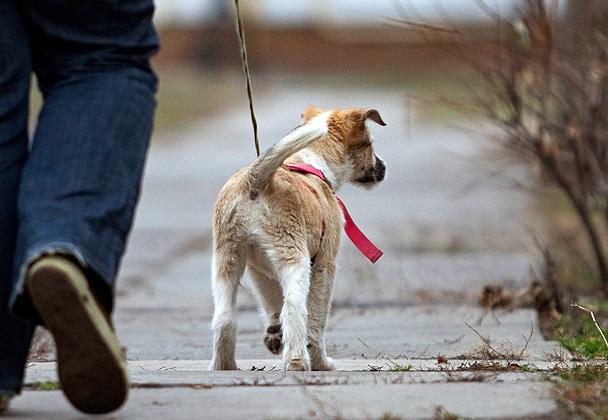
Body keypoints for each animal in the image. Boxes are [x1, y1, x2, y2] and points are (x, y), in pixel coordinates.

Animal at [209, 106, 386, 371]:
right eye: (369, 143)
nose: (384, 167)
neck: (310, 163)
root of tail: (255, 180)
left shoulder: (259, 271)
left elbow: (272, 302)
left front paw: (274, 335)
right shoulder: (325, 265)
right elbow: (316, 320)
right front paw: (322, 363)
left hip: (226, 260)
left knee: (225, 317)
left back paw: (224, 365)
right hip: (294, 256)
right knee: (292, 307)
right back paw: (297, 361)